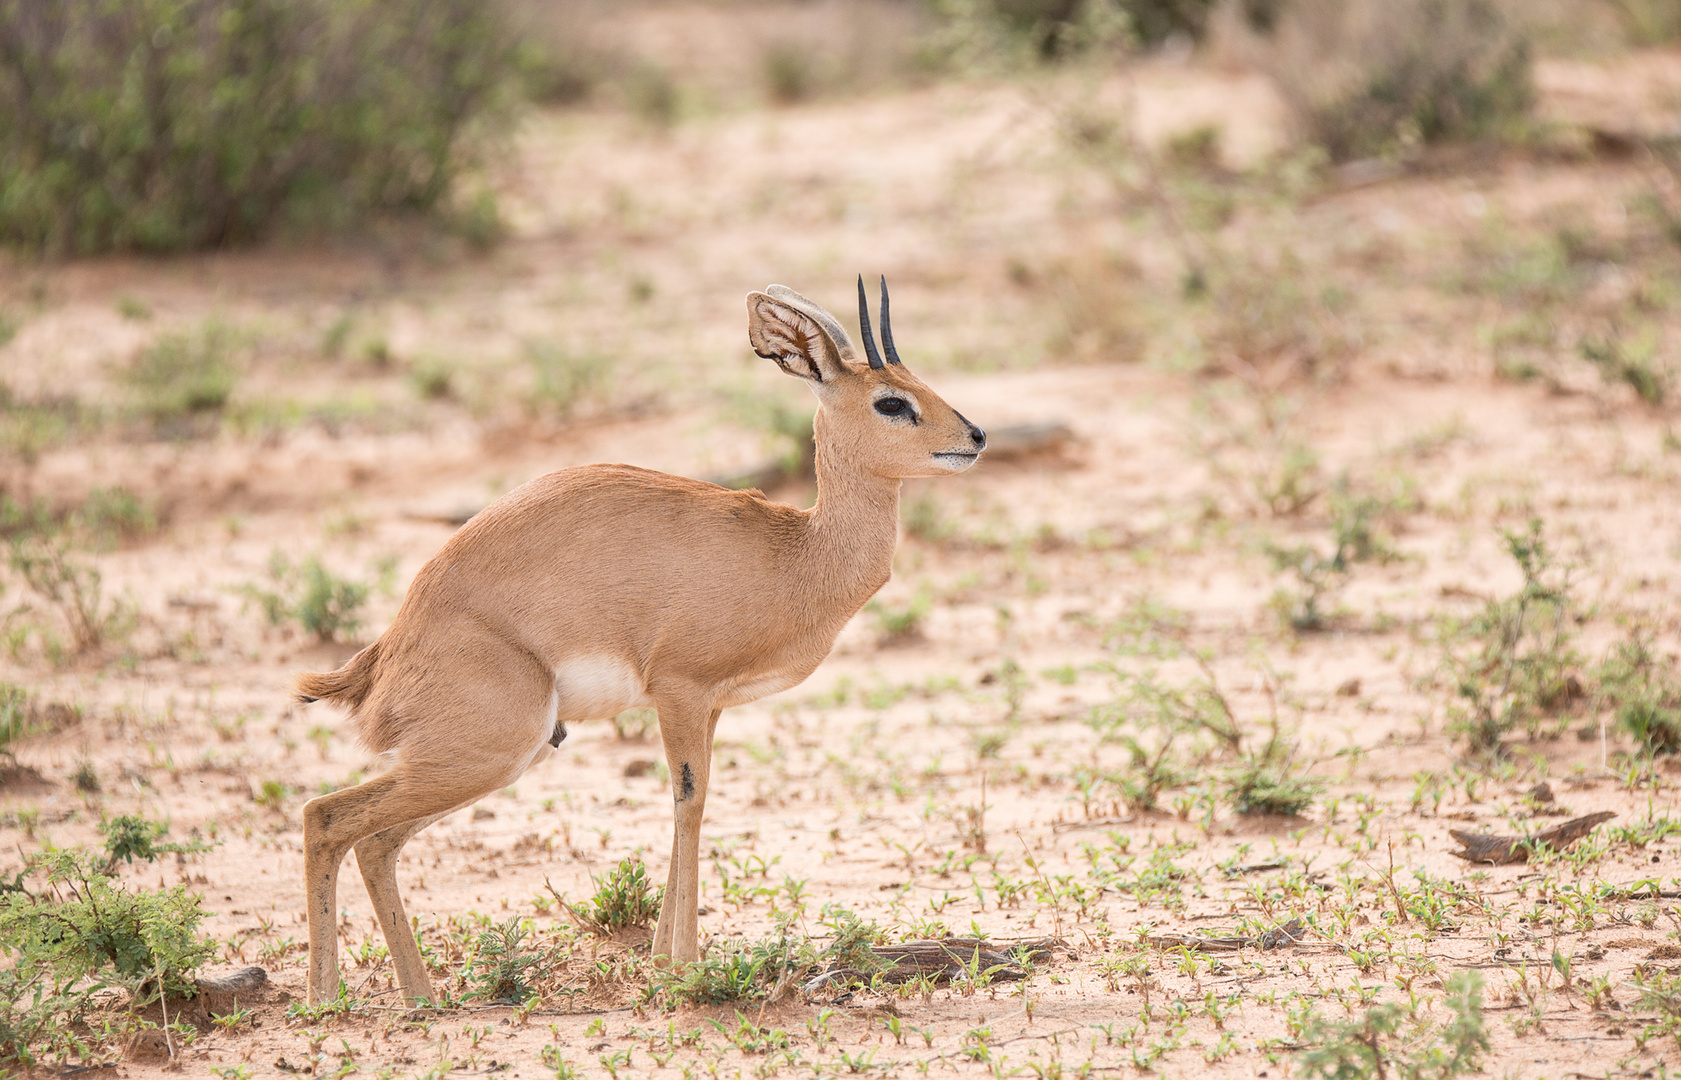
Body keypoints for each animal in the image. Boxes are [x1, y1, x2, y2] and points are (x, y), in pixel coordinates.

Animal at [295, 275, 981, 1002]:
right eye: (891, 402)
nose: (976, 436)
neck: (798, 552)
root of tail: (388, 648)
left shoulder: (710, 706)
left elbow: (692, 801)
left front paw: (661, 960)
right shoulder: (680, 690)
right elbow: (691, 802)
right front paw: (688, 967)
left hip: (489, 759)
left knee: (373, 840)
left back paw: (419, 997)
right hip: (486, 753)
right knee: (326, 817)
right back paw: (325, 1001)